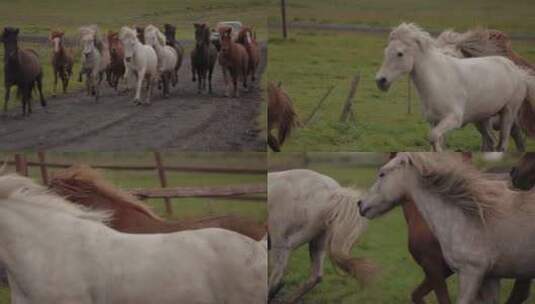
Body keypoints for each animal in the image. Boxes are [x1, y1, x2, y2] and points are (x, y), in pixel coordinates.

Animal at [376, 23, 535, 151]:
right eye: (385, 52)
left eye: (400, 53)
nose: (380, 81)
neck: (438, 81)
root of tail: (518, 71)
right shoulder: (434, 122)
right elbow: (435, 141)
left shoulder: (453, 119)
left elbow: (433, 137)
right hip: (482, 119)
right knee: (490, 141)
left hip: (508, 113)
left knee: (502, 143)